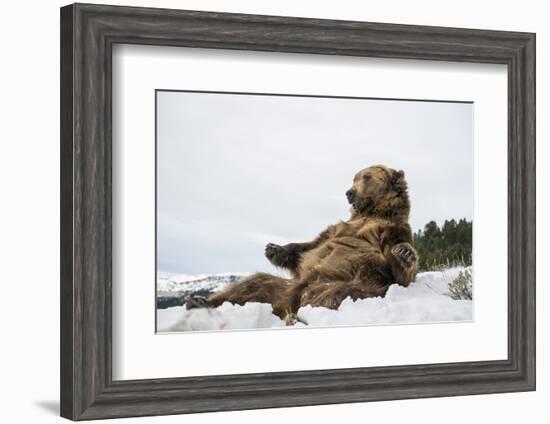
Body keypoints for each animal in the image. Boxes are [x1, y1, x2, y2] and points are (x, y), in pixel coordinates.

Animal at [188, 164, 420, 322]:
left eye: (367, 177)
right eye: (355, 178)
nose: (349, 192)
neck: (372, 213)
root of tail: (287, 302)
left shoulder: (392, 230)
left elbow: (398, 271)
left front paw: (404, 253)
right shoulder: (339, 229)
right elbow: (310, 246)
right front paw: (274, 249)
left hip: (344, 283)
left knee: (335, 294)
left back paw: (297, 317)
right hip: (280, 287)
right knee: (252, 284)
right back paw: (200, 302)